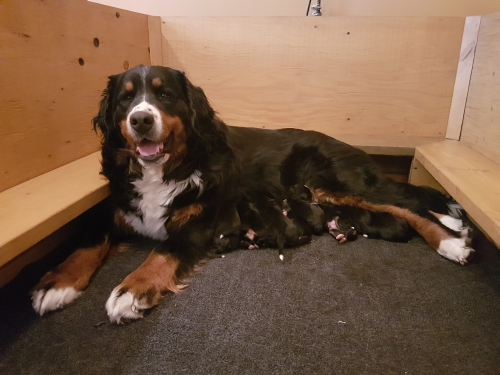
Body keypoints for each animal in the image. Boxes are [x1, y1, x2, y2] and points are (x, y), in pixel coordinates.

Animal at [30, 66, 472, 324]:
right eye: (126, 98)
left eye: (163, 94)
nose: (140, 119)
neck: (166, 168)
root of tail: (349, 146)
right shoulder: (115, 211)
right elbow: (86, 242)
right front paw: (57, 283)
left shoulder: (201, 221)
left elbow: (161, 252)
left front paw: (131, 290)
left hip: (339, 184)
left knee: (407, 206)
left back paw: (451, 240)